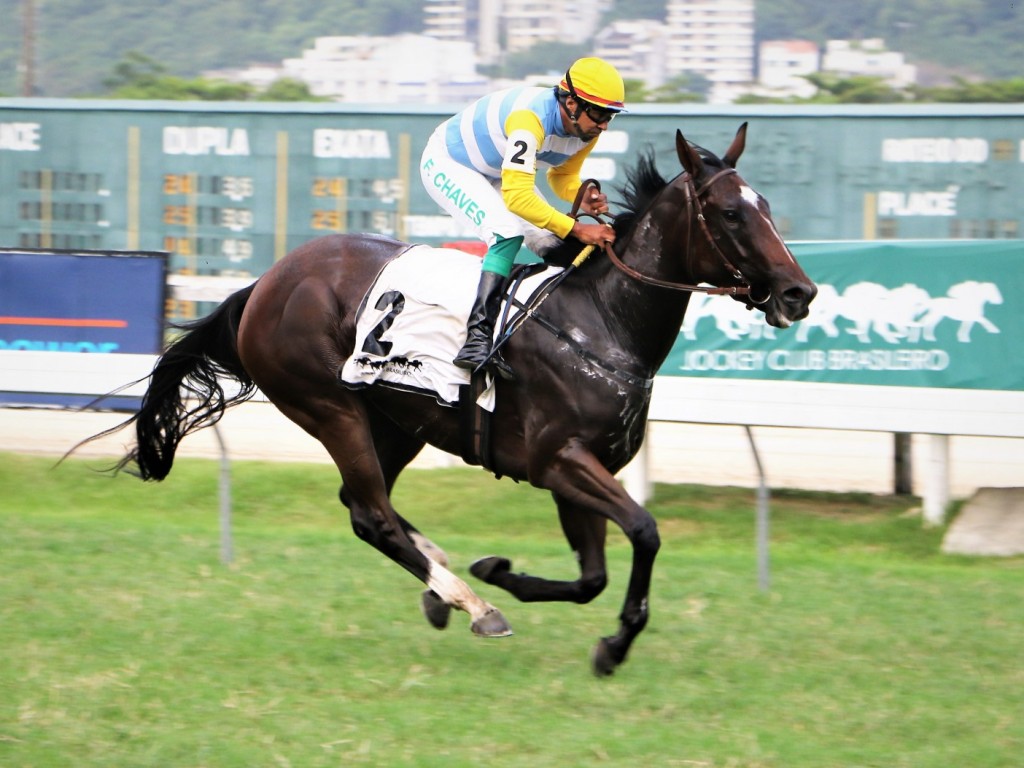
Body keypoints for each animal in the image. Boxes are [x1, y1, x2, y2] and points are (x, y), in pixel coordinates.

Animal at [99, 124, 811, 671]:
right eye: (730, 213)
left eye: (769, 206)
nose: (799, 293)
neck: (600, 325)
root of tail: (266, 283)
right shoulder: (560, 461)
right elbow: (644, 530)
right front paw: (611, 641)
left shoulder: (580, 470)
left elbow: (591, 577)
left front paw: (502, 571)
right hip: (328, 406)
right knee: (372, 513)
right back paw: (474, 604)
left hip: (395, 422)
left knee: (363, 505)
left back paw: (446, 583)